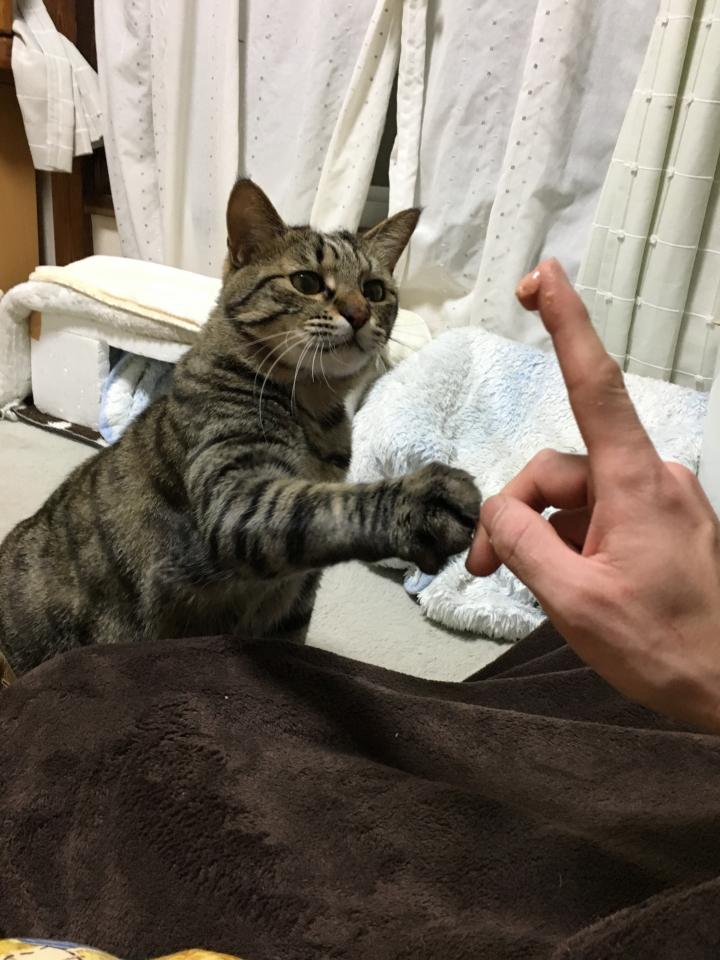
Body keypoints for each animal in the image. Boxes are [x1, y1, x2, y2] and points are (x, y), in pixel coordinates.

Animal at [0, 179, 480, 675]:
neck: (314, 410)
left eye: (374, 289)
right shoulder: (237, 494)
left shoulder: (294, 601)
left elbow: (291, 639)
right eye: (307, 282)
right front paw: (422, 502)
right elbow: (326, 503)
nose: (359, 313)